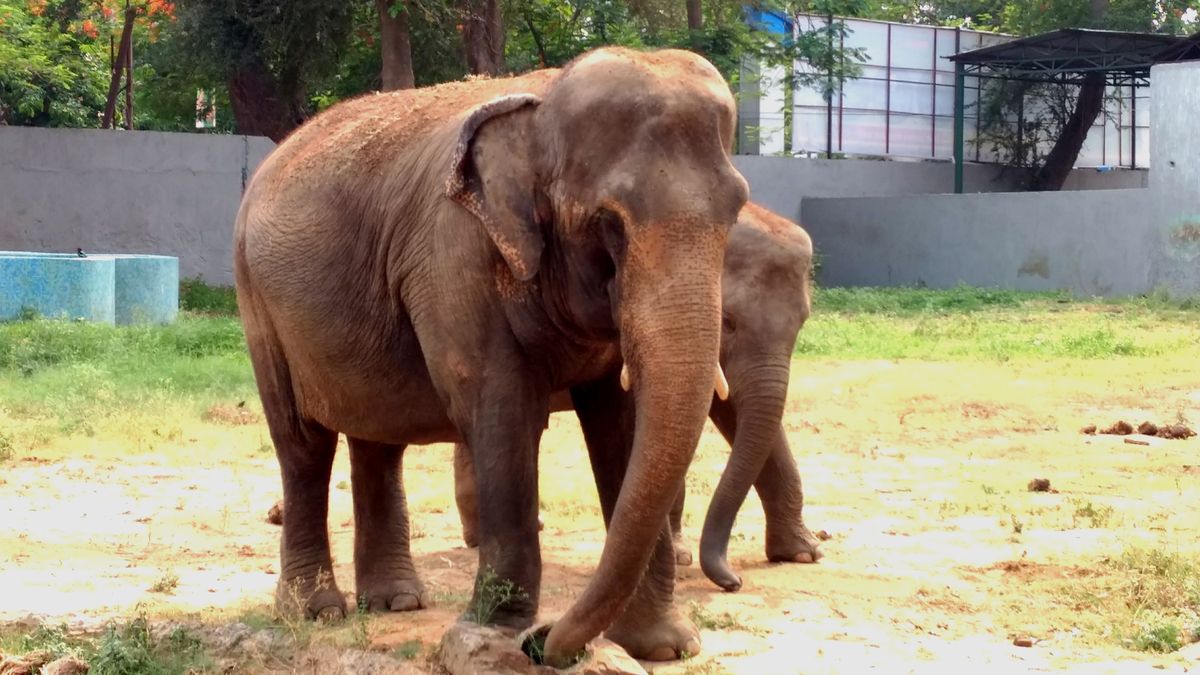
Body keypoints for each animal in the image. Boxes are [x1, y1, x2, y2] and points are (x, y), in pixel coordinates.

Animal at [233, 47, 749, 666]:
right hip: (257, 301)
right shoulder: (455, 255)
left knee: (378, 440)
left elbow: (623, 422)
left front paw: (664, 647)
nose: (546, 643)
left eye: (736, 213)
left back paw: (394, 604)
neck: (542, 105)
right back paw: (316, 612)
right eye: (608, 223)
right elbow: (501, 411)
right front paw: (496, 639)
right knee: (302, 443)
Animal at [453, 202, 822, 594]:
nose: (733, 582)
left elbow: (733, 412)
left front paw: (804, 553)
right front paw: (677, 556)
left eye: (802, 321)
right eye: (729, 321)